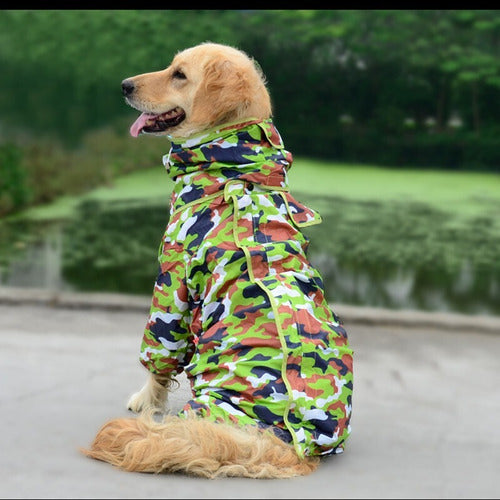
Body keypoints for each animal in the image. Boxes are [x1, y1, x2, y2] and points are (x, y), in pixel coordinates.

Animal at [82, 43, 354, 480]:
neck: (231, 166)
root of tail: (293, 445)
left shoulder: (171, 278)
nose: (124, 85)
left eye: (179, 75)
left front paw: (145, 401)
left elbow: (159, 356)